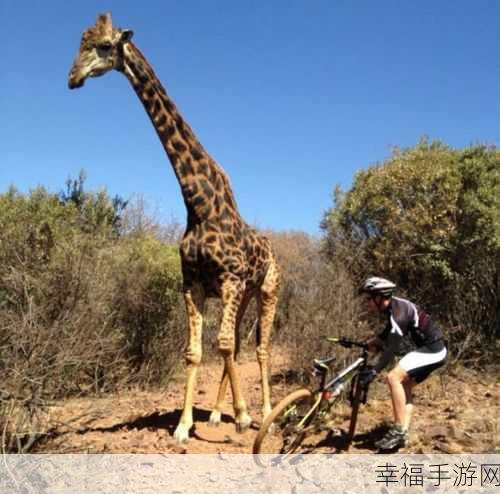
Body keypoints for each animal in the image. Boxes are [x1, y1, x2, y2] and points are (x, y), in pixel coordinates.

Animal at [68, 13, 280, 442]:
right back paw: (217, 413)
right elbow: (198, 351)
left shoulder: (229, 280)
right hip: (245, 294)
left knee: (262, 347)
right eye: (79, 44)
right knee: (236, 343)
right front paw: (184, 426)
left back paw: (264, 412)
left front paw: (243, 416)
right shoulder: (193, 283)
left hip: (267, 289)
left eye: (103, 46)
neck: (199, 205)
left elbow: (224, 345)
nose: (72, 77)